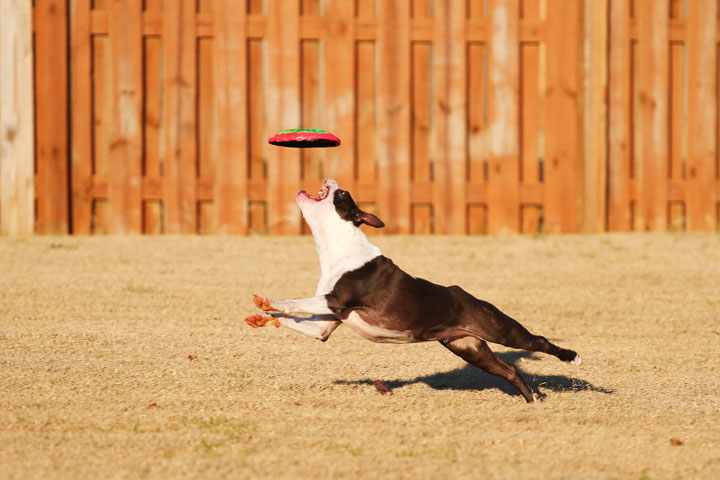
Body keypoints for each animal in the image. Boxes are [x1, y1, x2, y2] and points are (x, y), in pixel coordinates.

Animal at [245, 179, 584, 402]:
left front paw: (269, 302)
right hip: (469, 347)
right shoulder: (324, 326)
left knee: (539, 341)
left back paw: (572, 358)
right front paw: (263, 318)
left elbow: (295, 302)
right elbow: (296, 319)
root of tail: (468, 297)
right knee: (510, 370)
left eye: (342, 194)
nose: (332, 179)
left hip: (502, 331)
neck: (339, 245)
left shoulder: (335, 301)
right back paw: (533, 400)